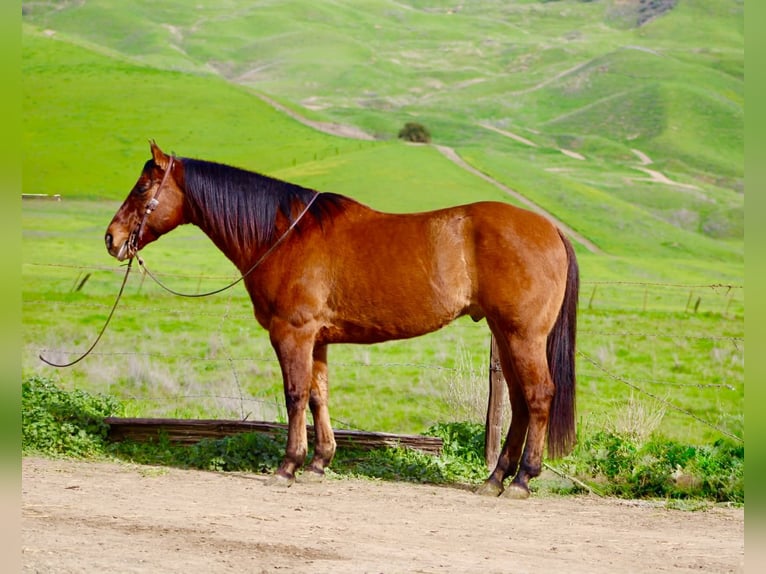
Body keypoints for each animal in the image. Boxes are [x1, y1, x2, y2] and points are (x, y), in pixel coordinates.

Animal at [105, 141, 579, 498]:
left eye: (143, 186)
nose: (111, 238)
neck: (284, 234)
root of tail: (551, 229)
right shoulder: (317, 339)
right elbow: (319, 396)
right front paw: (319, 463)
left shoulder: (292, 333)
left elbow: (295, 395)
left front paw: (288, 465)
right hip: (506, 334)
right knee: (520, 401)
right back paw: (496, 478)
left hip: (522, 335)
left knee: (538, 396)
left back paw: (521, 479)